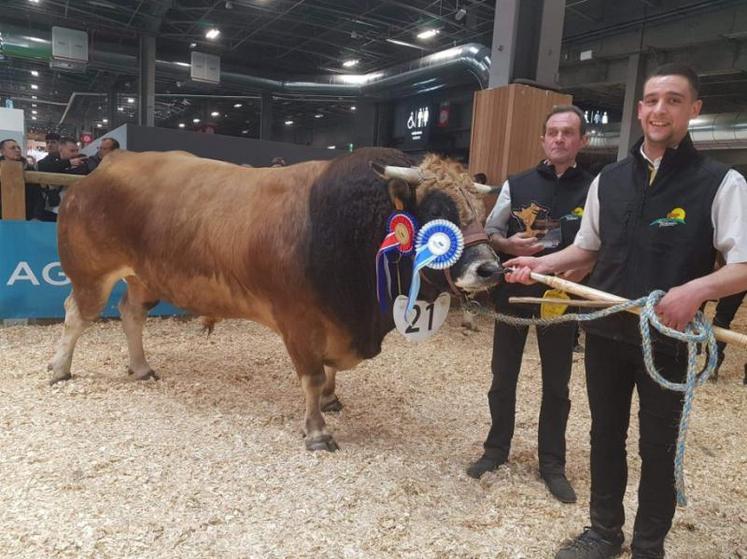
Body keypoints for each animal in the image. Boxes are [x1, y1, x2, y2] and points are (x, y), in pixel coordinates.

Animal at [48, 148, 502, 450]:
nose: (490, 269)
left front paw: (331, 399)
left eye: (480, 211)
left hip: (144, 277)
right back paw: (59, 368)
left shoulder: (337, 318)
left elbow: (328, 372)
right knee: (75, 316)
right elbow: (312, 375)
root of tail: (106, 165)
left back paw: (141, 367)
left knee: (130, 314)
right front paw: (317, 430)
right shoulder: (298, 320)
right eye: (439, 210)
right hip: (90, 273)